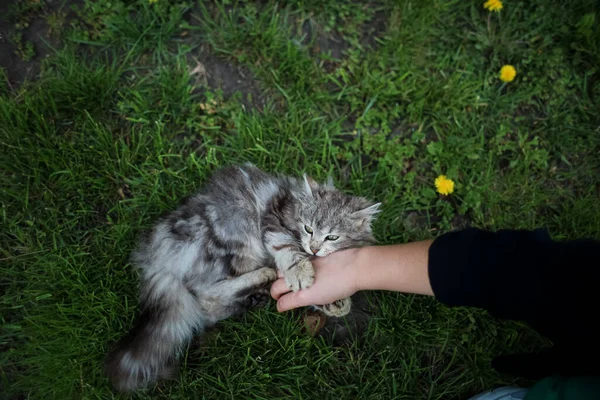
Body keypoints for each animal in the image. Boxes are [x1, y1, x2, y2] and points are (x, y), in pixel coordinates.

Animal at [105, 162, 380, 390]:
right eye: (308, 228)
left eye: (332, 236)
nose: (313, 248)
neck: (293, 206)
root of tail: (154, 254)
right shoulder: (273, 220)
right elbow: (287, 249)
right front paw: (300, 272)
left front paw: (334, 301)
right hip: (233, 238)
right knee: (206, 296)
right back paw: (262, 276)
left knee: (208, 309)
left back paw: (254, 297)